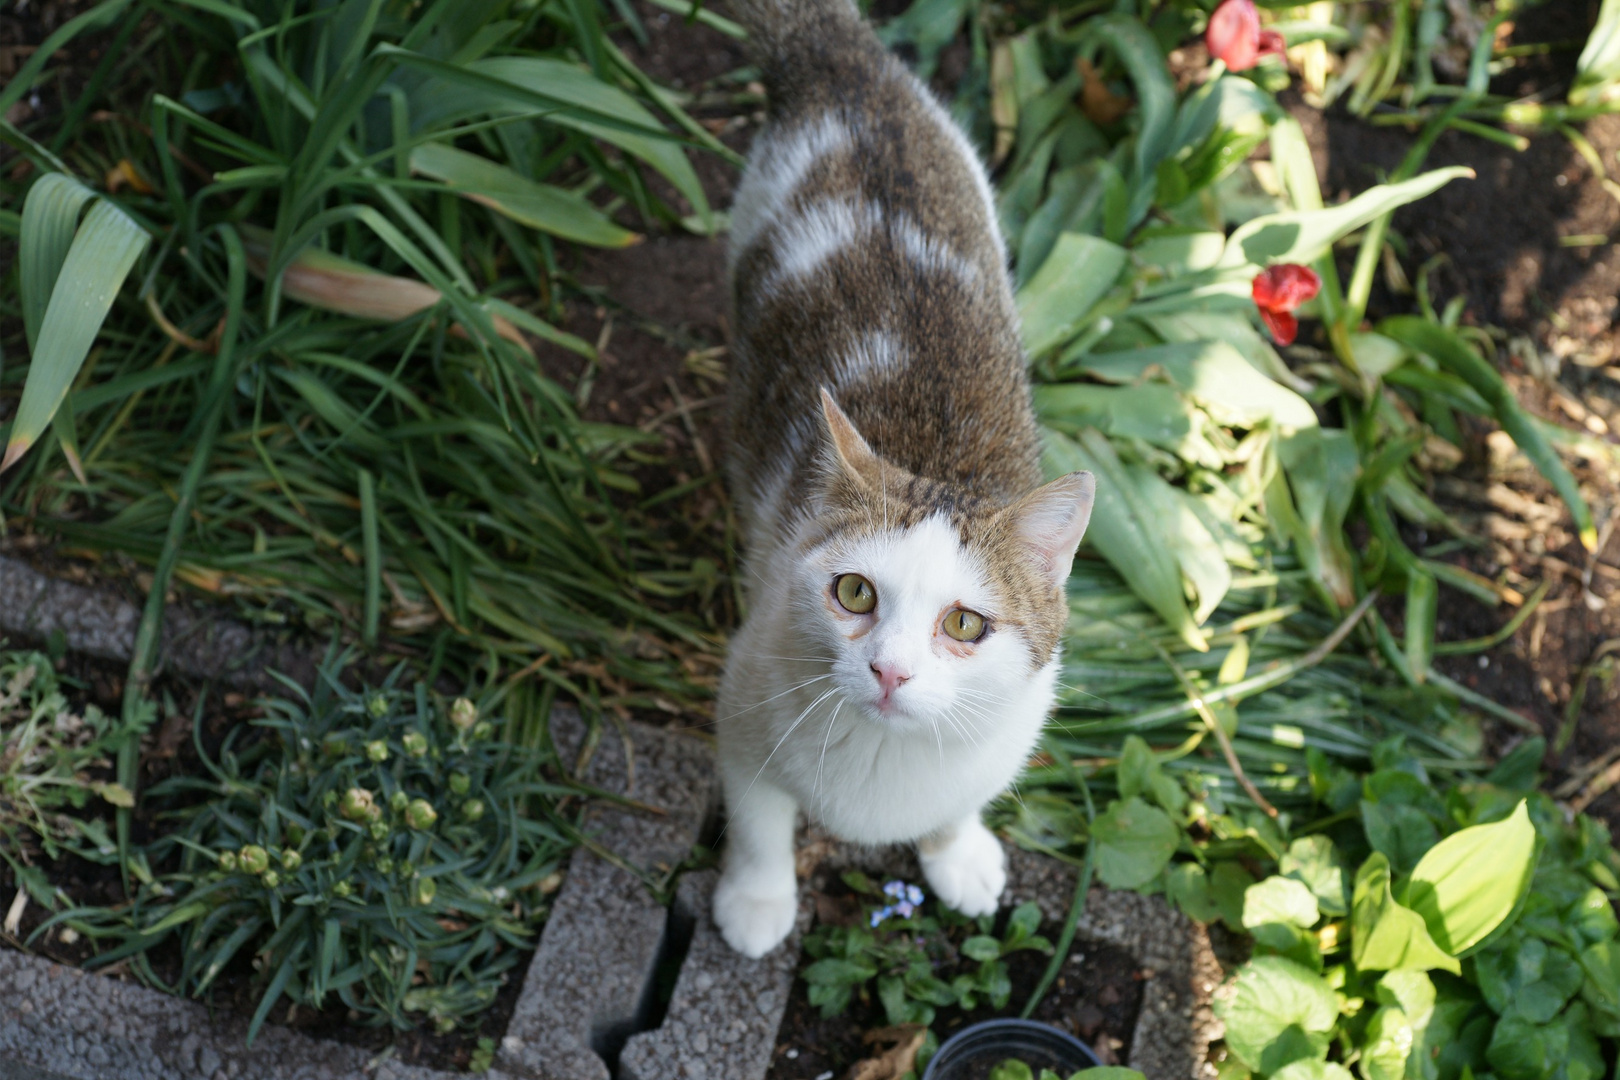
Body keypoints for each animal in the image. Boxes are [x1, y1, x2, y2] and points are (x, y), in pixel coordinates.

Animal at [716, 0, 1095, 958]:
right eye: (853, 593)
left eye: (965, 623)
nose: (888, 671)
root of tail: (845, 64)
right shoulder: (742, 715)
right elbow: (758, 820)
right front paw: (759, 901)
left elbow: (959, 805)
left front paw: (957, 856)